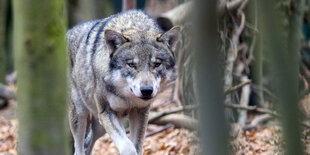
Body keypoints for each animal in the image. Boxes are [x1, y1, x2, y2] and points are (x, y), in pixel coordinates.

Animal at [66, 10, 180, 155]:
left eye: (156, 64)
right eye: (131, 65)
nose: (147, 90)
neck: (127, 97)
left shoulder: (141, 112)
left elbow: (137, 145)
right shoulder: (106, 112)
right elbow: (128, 147)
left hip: (99, 126)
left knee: (88, 144)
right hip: (81, 114)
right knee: (79, 147)